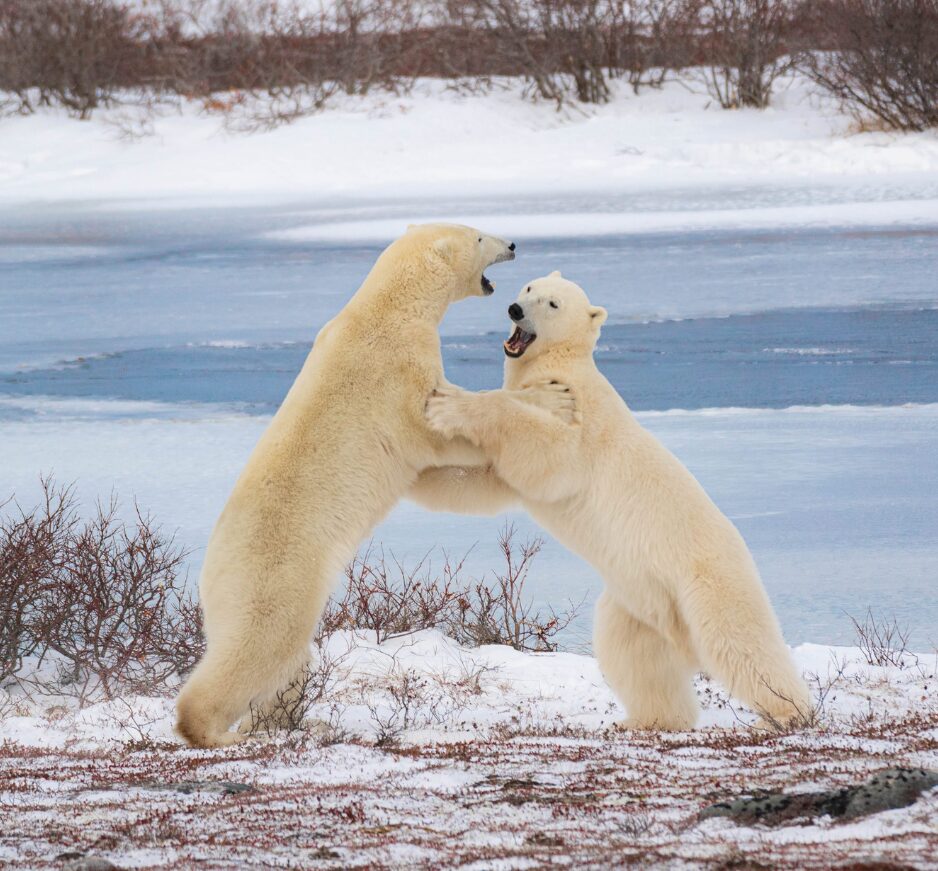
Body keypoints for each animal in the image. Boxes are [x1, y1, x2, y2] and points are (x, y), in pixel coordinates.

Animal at [175, 223, 518, 747]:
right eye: (480, 237)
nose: (514, 244)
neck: (387, 307)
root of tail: (209, 569)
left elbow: (432, 476)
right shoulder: (399, 372)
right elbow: (434, 431)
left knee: (288, 665)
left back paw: (282, 721)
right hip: (277, 577)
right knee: (261, 647)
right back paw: (218, 732)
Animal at [410, 271, 813, 731]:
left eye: (553, 304)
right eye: (529, 288)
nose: (515, 309)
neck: (559, 364)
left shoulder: (580, 420)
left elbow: (546, 451)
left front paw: (448, 405)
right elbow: (488, 479)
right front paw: (418, 474)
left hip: (706, 581)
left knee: (740, 642)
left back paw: (787, 713)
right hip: (639, 603)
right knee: (634, 656)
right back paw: (647, 719)